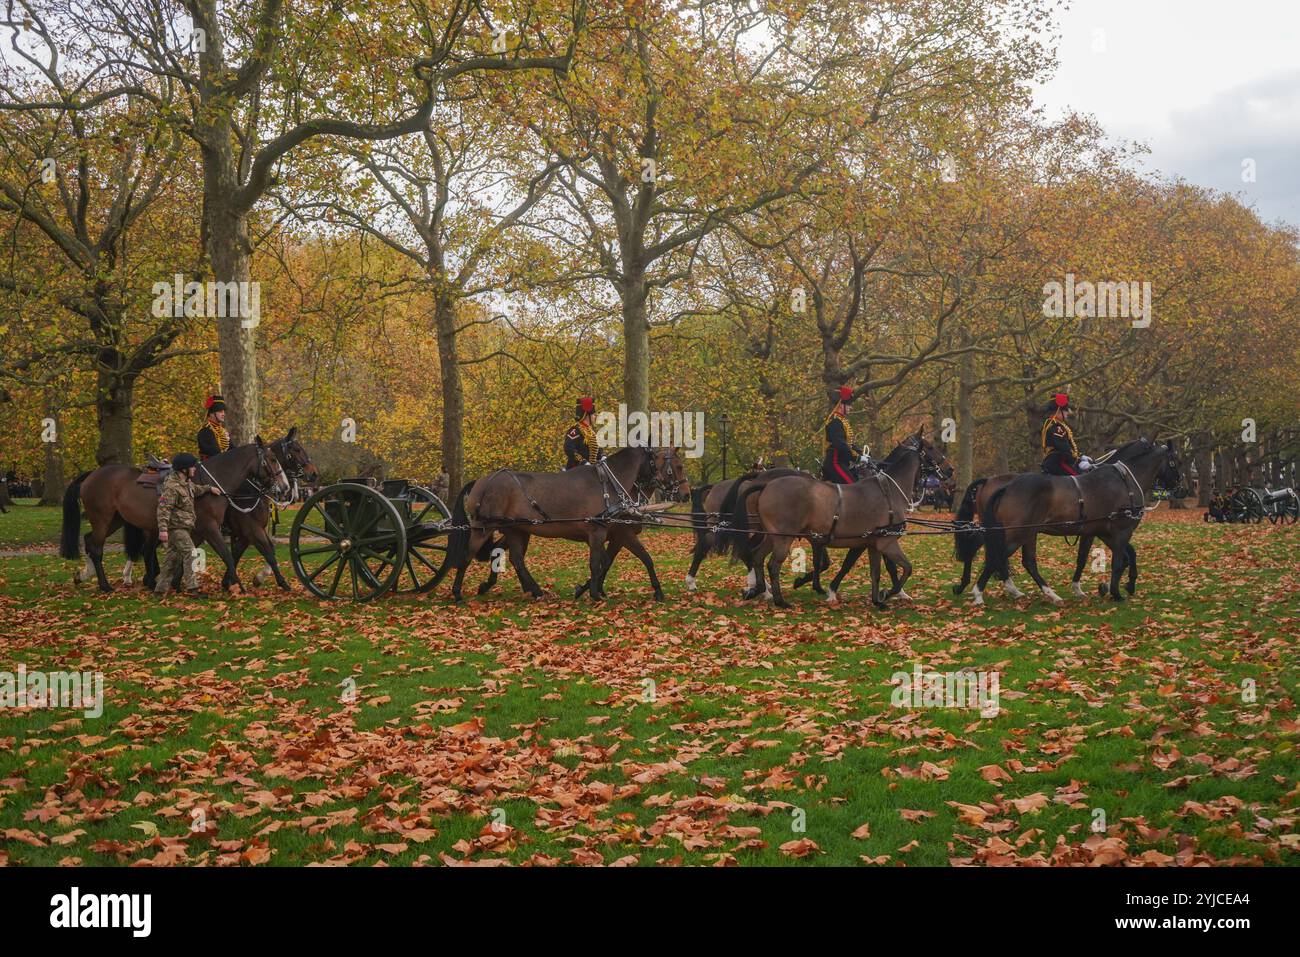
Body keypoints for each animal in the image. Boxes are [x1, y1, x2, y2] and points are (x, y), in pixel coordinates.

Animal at [61, 434, 289, 590]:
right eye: (273, 459)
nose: (285, 487)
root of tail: (93, 474)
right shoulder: (215, 527)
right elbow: (229, 554)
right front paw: (238, 585)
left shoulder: (206, 530)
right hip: (103, 519)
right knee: (98, 547)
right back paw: (105, 584)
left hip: (116, 520)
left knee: (93, 541)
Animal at [431, 447, 691, 598]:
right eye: (677, 467)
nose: (687, 494)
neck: (611, 486)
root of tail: (483, 480)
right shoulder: (602, 532)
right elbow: (600, 562)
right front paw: (594, 593)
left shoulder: (617, 535)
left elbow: (613, 561)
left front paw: (592, 589)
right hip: (483, 527)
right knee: (467, 555)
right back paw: (457, 592)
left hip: (516, 529)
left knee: (516, 559)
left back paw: (533, 590)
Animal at [977, 434, 1185, 600]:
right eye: (1175, 461)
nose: (1182, 489)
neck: (1125, 480)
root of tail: (1007, 486)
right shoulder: (1121, 530)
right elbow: (1118, 561)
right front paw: (1115, 593)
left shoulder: (1101, 532)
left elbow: (1122, 557)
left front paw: (1116, 585)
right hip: (1017, 534)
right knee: (998, 557)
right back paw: (980, 593)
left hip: (1028, 534)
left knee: (1026, 562)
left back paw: (1047, 594)